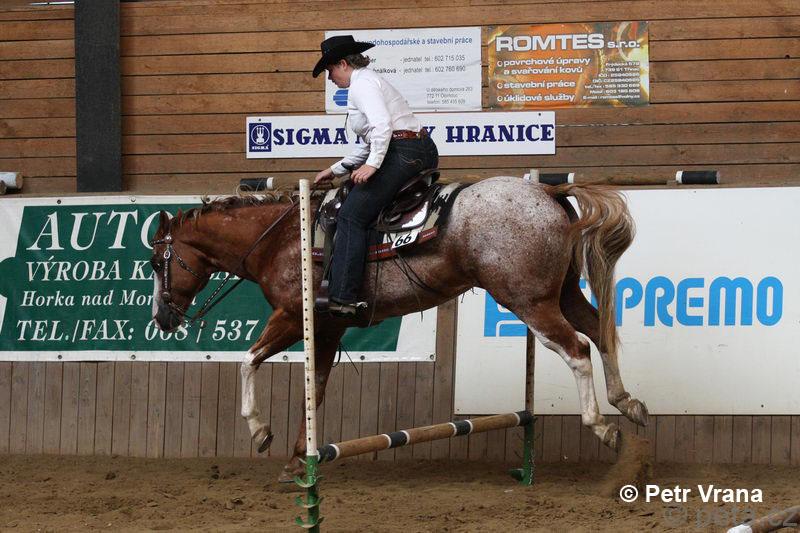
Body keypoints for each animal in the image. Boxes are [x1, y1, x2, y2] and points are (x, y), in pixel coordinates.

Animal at [149, 176, 649, 482]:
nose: (162, 318)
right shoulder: (328, 329)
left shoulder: (292, 316)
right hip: (562, 293)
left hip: (529, 301)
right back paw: (628, 403)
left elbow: (248, 360)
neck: (281, 240)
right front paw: (298, 459)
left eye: (156, 262)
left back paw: (602, 426)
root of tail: (548, 192)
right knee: (601, 333)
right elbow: (316, 389)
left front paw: (259, 431)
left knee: (577, 348)